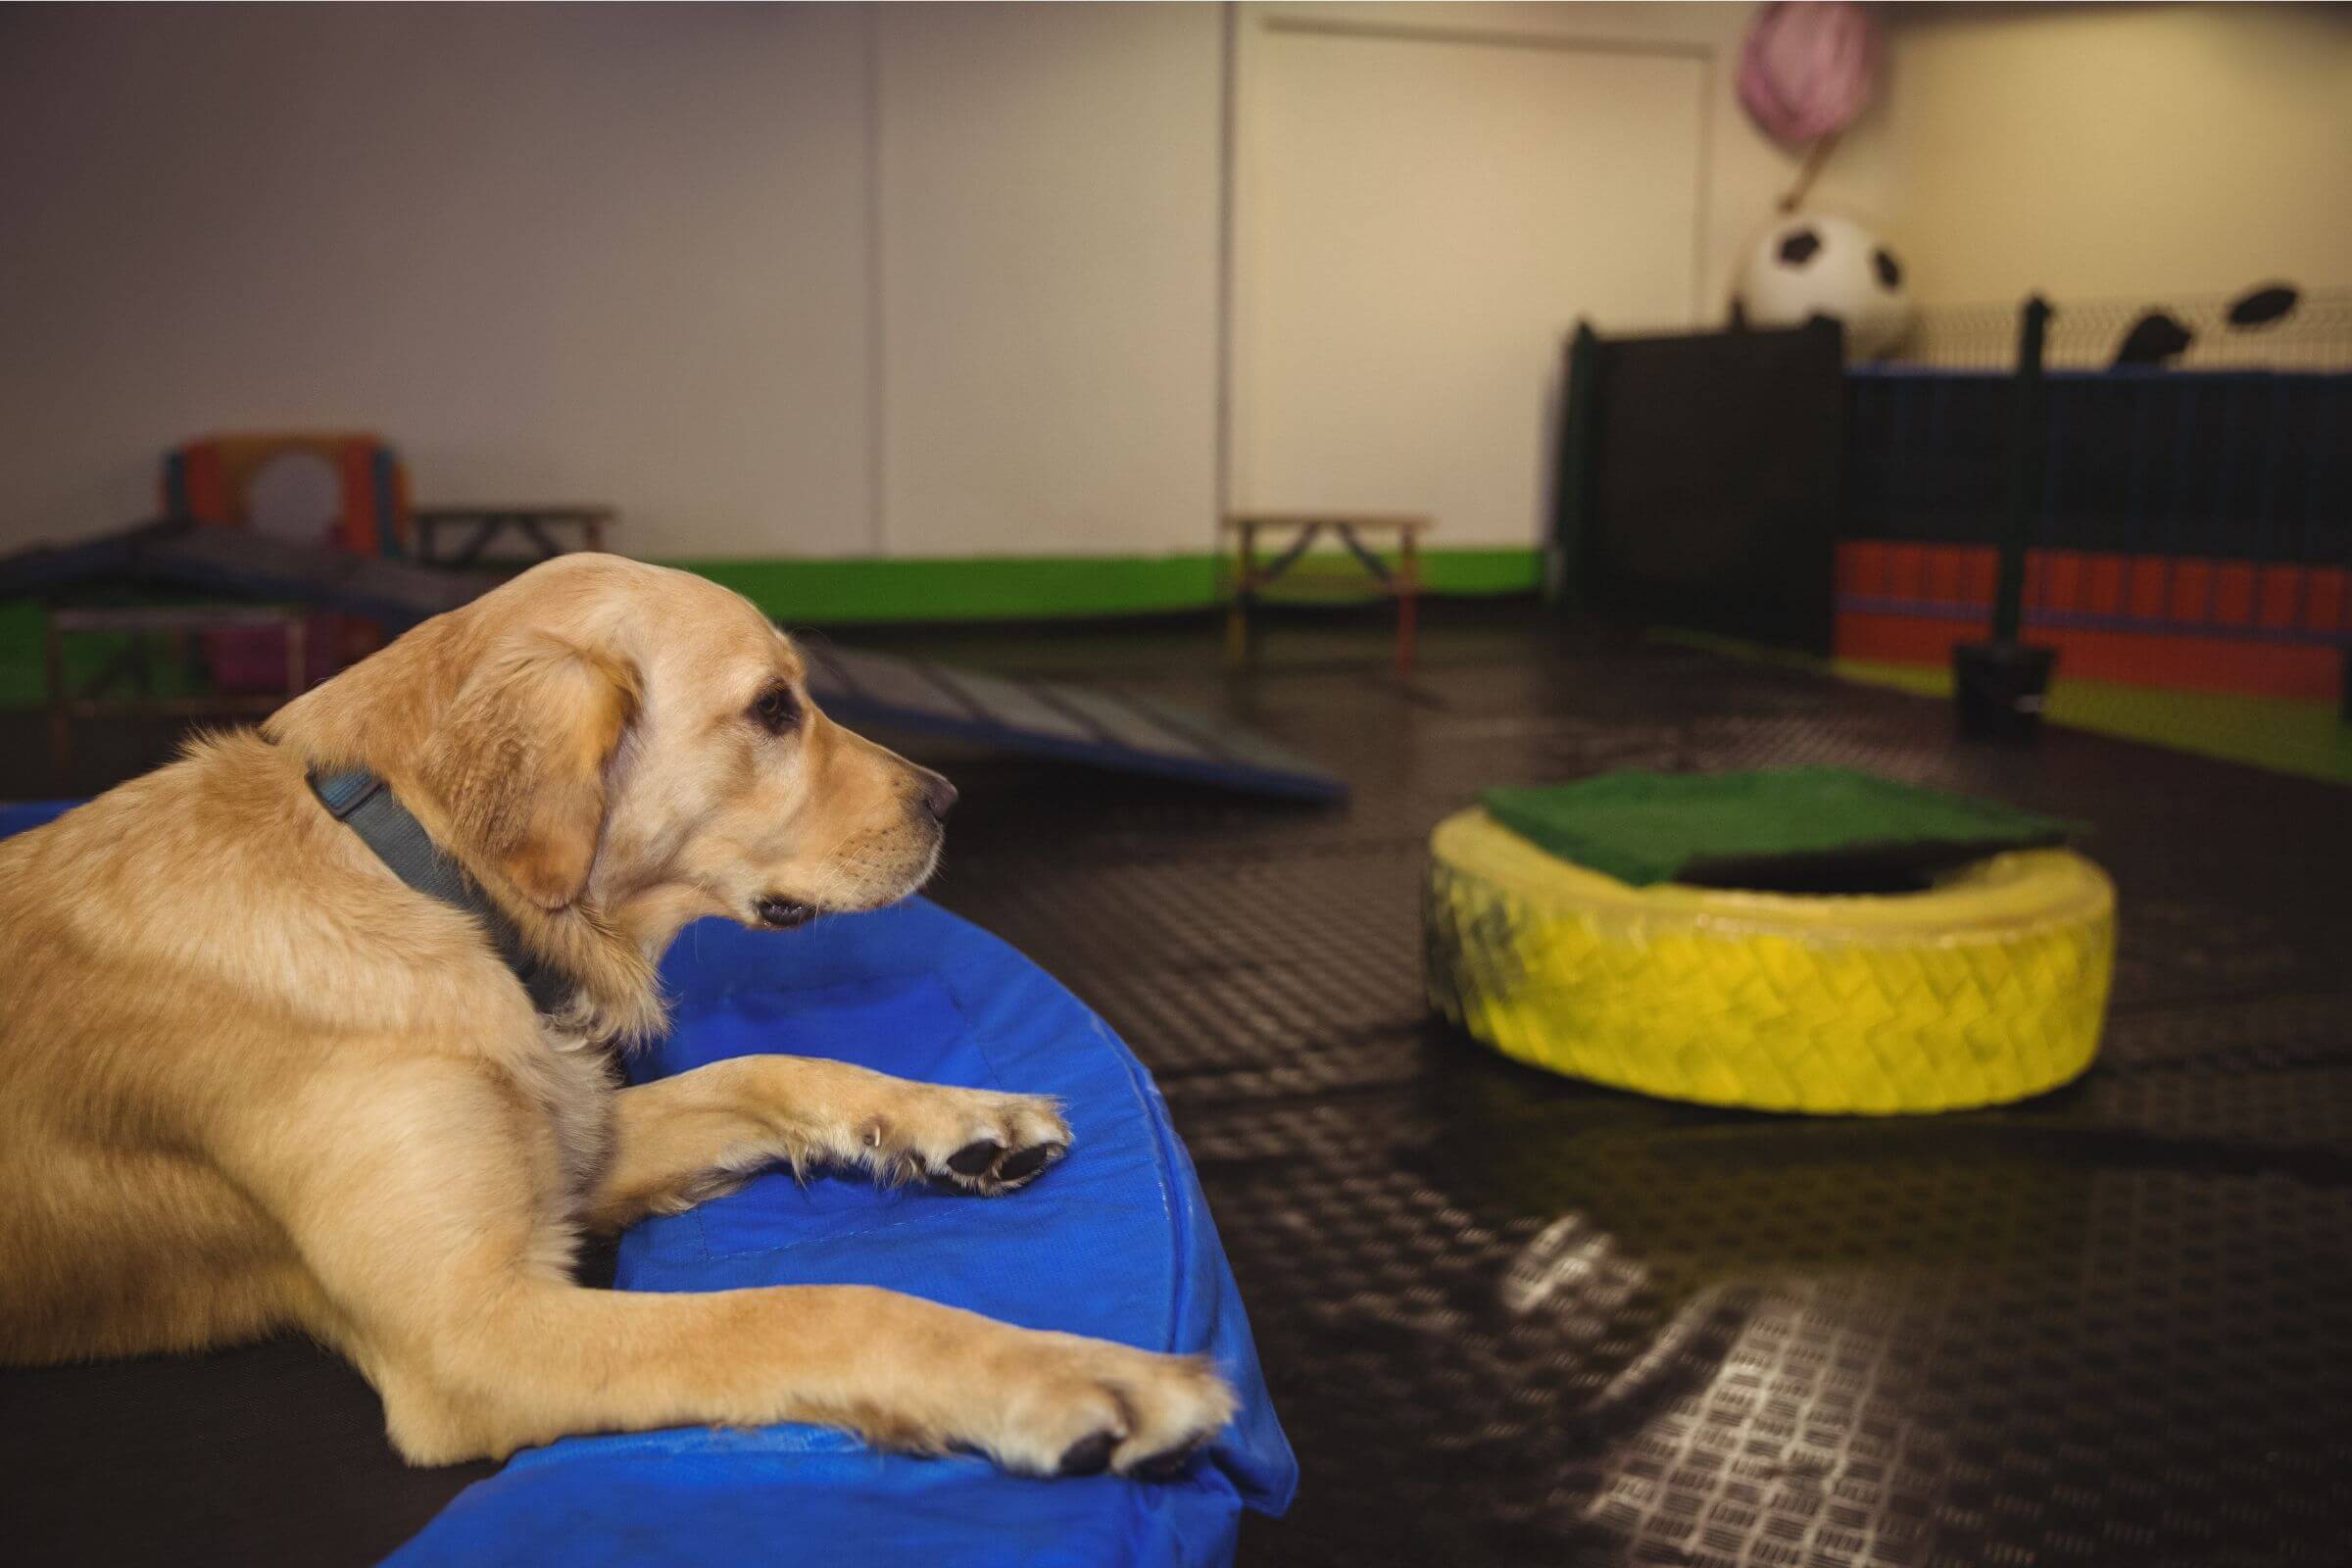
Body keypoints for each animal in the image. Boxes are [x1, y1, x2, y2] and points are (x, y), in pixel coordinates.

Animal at [0, 557, 1242, 1476]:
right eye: (774, 709)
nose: (947, 799)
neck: (422, 878)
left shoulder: (573, 1143)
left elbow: (769, 1065)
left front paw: (958, 1115)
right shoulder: (471, 1328)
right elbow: (811, 1310)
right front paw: (1072, 1377)